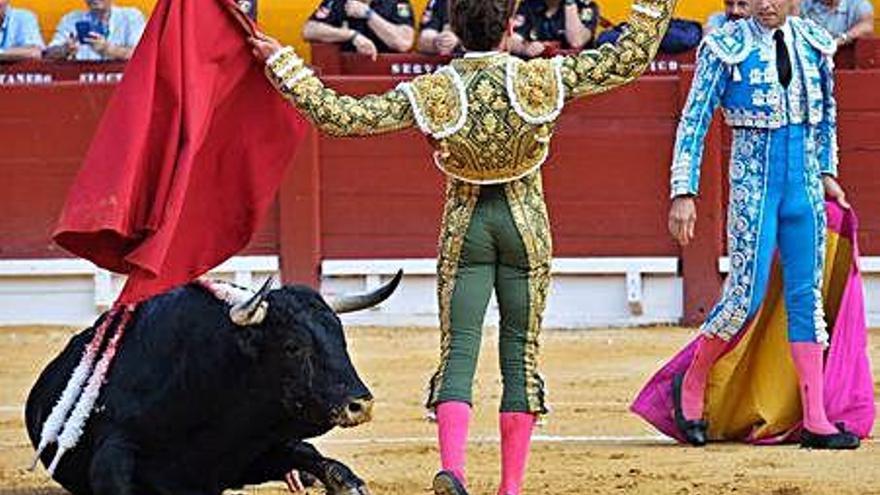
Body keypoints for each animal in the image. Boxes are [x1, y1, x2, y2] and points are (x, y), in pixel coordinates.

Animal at [24, 276, 402, 495]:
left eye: (341, 339)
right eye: (293, 346)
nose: (360, 404)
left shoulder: (253, 448)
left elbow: (322, 462)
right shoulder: (114, 452)